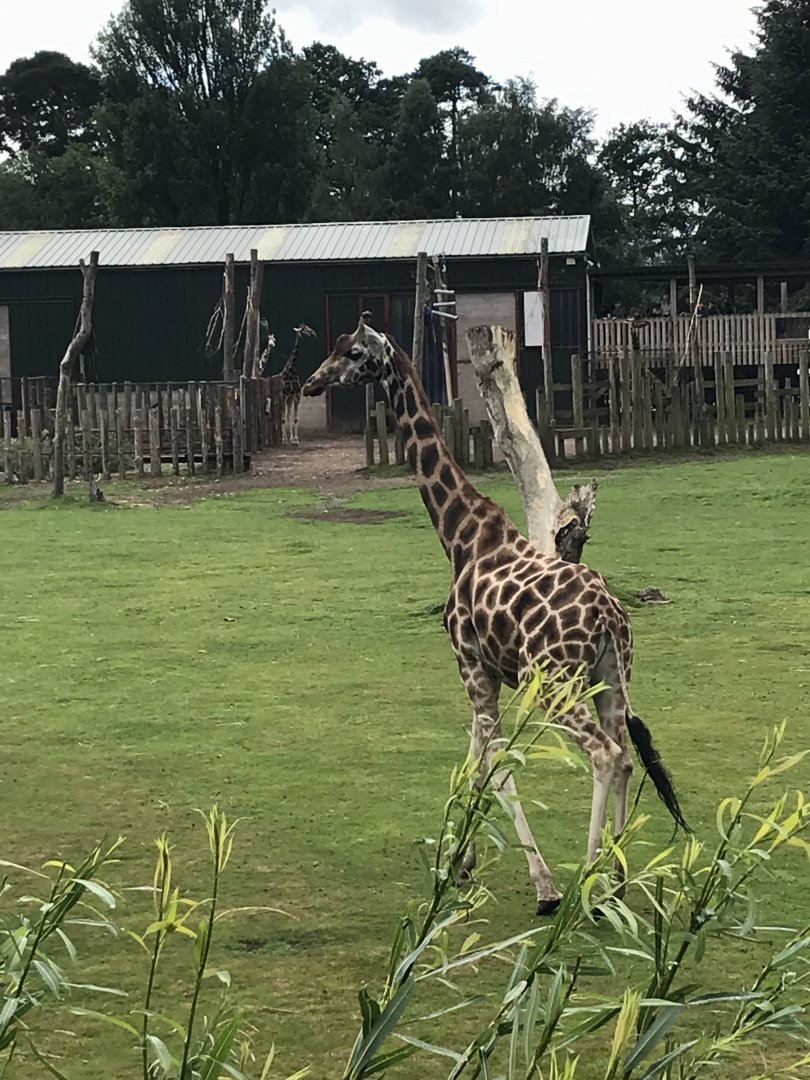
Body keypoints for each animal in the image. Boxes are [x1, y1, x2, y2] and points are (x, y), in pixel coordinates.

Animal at [303, 316, 688, 915]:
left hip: (555, 681)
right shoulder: (487, 672)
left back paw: (582, 882)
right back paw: (616, 880)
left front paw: (541, 885)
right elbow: (478, 757)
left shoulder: (469, 664)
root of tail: (610, 617)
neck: (459, 535)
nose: (311, 382)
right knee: (625, 754)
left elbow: (496, 763)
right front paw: (462, 863)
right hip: (611, 678)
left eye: (354, 352)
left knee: (603, 754)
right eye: (337, 347)